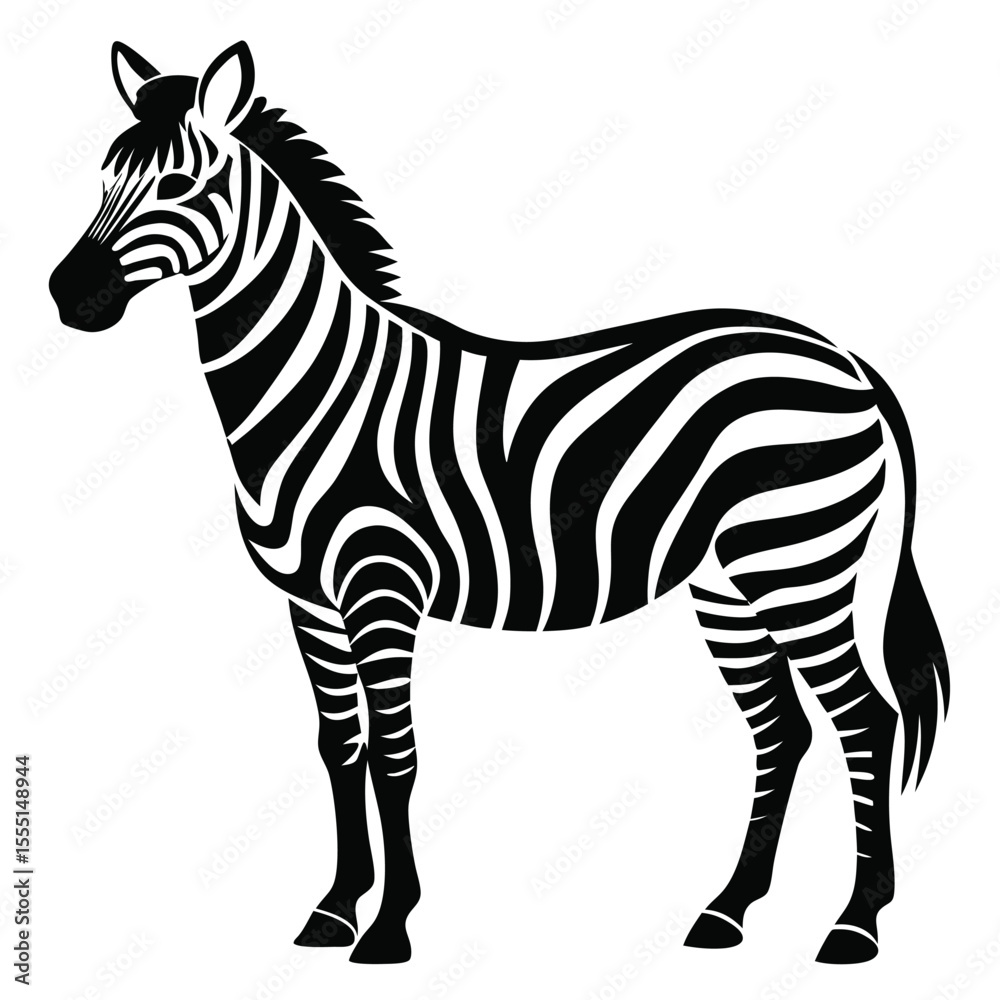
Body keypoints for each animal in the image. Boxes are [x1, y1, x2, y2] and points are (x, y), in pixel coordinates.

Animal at [49, 41, 950, 966]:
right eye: (104, 174)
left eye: (182, 182)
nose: (67, 296)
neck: (314, 390)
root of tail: (840, 354)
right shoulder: (310, 602)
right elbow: (338, 747)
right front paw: (333, 910)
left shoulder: (381, 585)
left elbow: (395, 753)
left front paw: (389, 927)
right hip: (729, 583)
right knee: (783, 730)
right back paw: (727, 912)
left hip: (799, 561)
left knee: (864, 720)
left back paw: (856, 924)